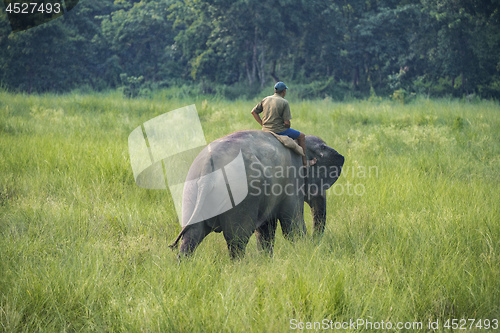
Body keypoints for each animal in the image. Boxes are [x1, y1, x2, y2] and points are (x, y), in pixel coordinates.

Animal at [169, 129, 344, 256]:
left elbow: (266, 228)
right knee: (237, 239)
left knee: (192, 234)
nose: (314, 243)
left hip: (191, 188)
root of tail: (208, 165)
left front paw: (266, 260)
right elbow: (292, 226)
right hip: (241, 195)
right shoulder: (292, 182)